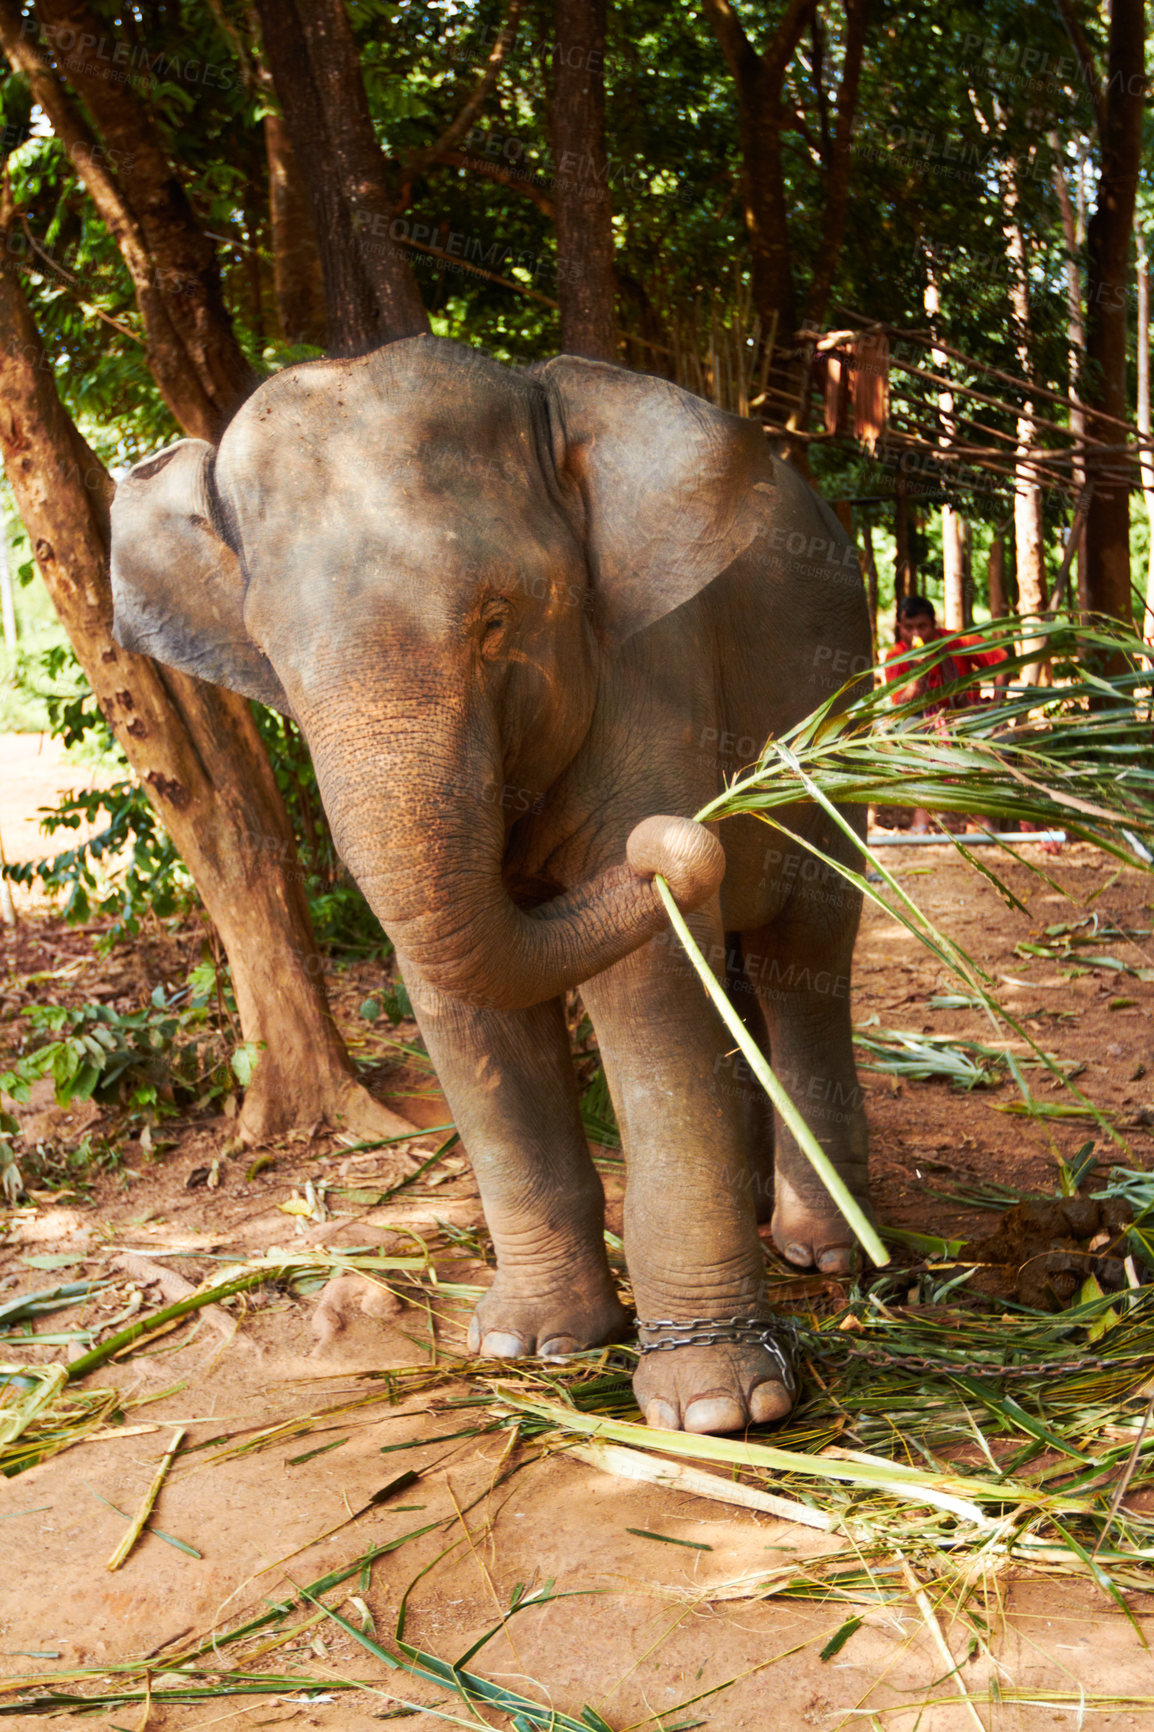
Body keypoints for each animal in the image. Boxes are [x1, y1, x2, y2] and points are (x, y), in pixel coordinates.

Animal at [112, 334, 866, 1434]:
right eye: (275, 660)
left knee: (802, 952)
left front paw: (719, 1411)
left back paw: (826, 1251)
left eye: (495, 620)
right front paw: (532, 1345)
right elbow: (458, 998)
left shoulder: (651, 676)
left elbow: (649, 991)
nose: (680, 840)